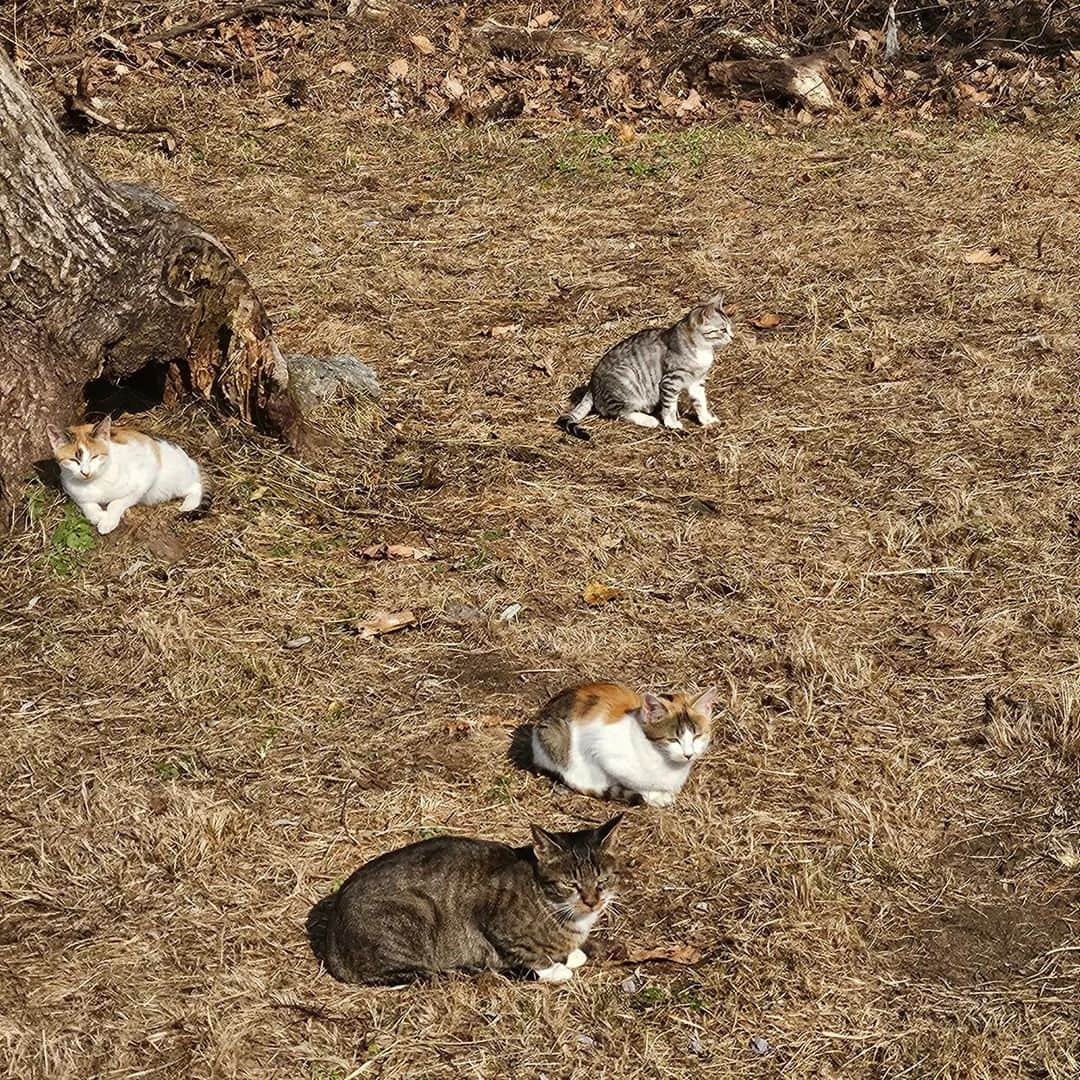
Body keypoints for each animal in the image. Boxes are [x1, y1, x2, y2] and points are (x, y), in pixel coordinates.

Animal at [46, 414, 206, 533]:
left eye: (94, 457)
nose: (86, 472)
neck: (94, 481)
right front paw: (98, 516)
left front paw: (108, 521)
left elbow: (117, 502)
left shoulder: (146, 475)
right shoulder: (71, 489)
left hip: (174, 480)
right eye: (74, 460)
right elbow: (86, 504)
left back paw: (188, 504)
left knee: (196, 486)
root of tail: (190, 460)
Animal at [319, 816, 622, 989]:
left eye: (603, 880)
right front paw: (556, 969)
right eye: (570, 884)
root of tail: (330, 941)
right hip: (417, 913)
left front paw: (573, 953)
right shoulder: (492, 920)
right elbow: (529, 955)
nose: (593, 901)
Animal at [531, 678, 717, 807]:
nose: (688, 754)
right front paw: (655, 796)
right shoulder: (603, 751)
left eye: (697, 736)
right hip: (555, 734)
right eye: (673, 739)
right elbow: (634, 783)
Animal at [557, 295, 734, 438]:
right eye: (722, 330)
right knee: (619, 412)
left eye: (730, 328)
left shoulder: (696, 382)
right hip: (628, 378)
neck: (703, 349)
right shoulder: (670, 381)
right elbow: (669, 406)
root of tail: (591, 386)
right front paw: (672, 423)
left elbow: (701, 403)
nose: (732, 336)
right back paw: (648, 420)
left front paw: (706, 420)